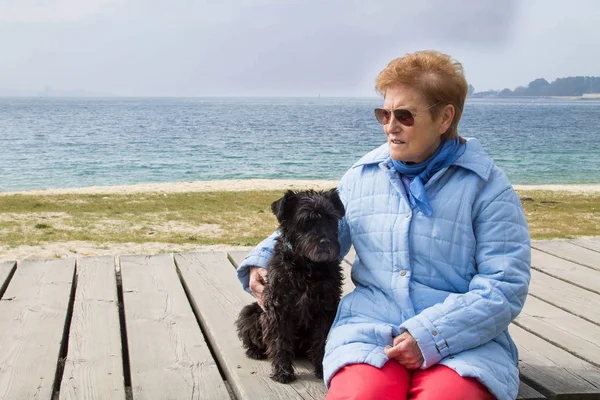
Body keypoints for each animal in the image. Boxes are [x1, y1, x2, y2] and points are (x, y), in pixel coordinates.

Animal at [236, 189, 344, 382]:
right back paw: (256, 351)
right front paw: (283, 371)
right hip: (249, 313)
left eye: (331, 219)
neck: (307, 266)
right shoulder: (278, 310)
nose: (325, 242)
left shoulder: (325, 309)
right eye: (305, 221)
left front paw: (321, 368)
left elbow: (321, 340)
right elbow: (279, 341)